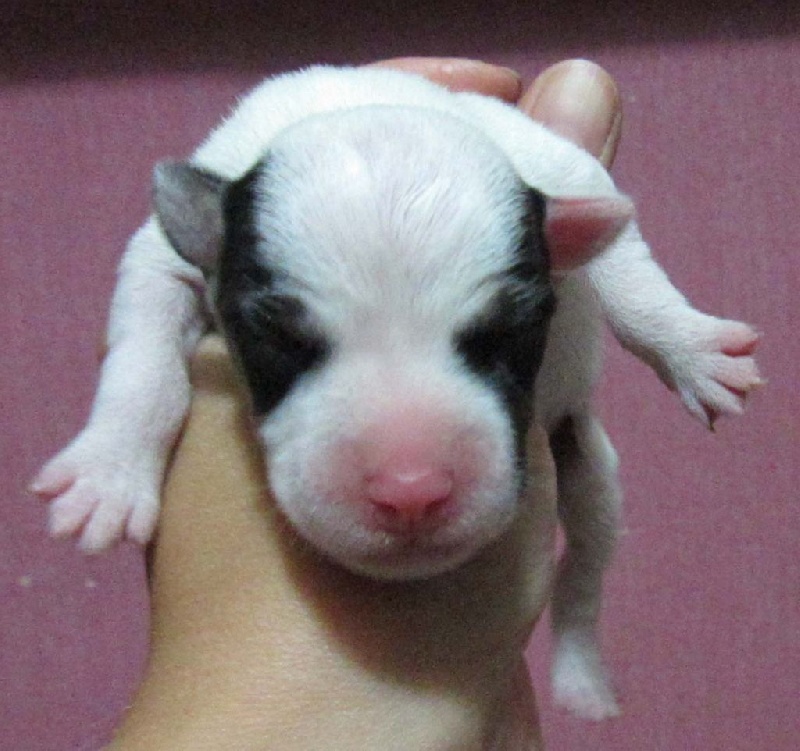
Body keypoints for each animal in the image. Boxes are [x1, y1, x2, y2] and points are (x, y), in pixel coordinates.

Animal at [31, 67, 760, 720]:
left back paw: (583, 680)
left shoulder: (563, 169)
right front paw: (109, 469)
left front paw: (692, 345)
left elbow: (627, 263)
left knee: (585, 564)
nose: (411, 492)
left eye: (513, 331)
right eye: (275, 338)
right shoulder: (168, 252)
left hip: (589, 473)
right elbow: (144, 341)